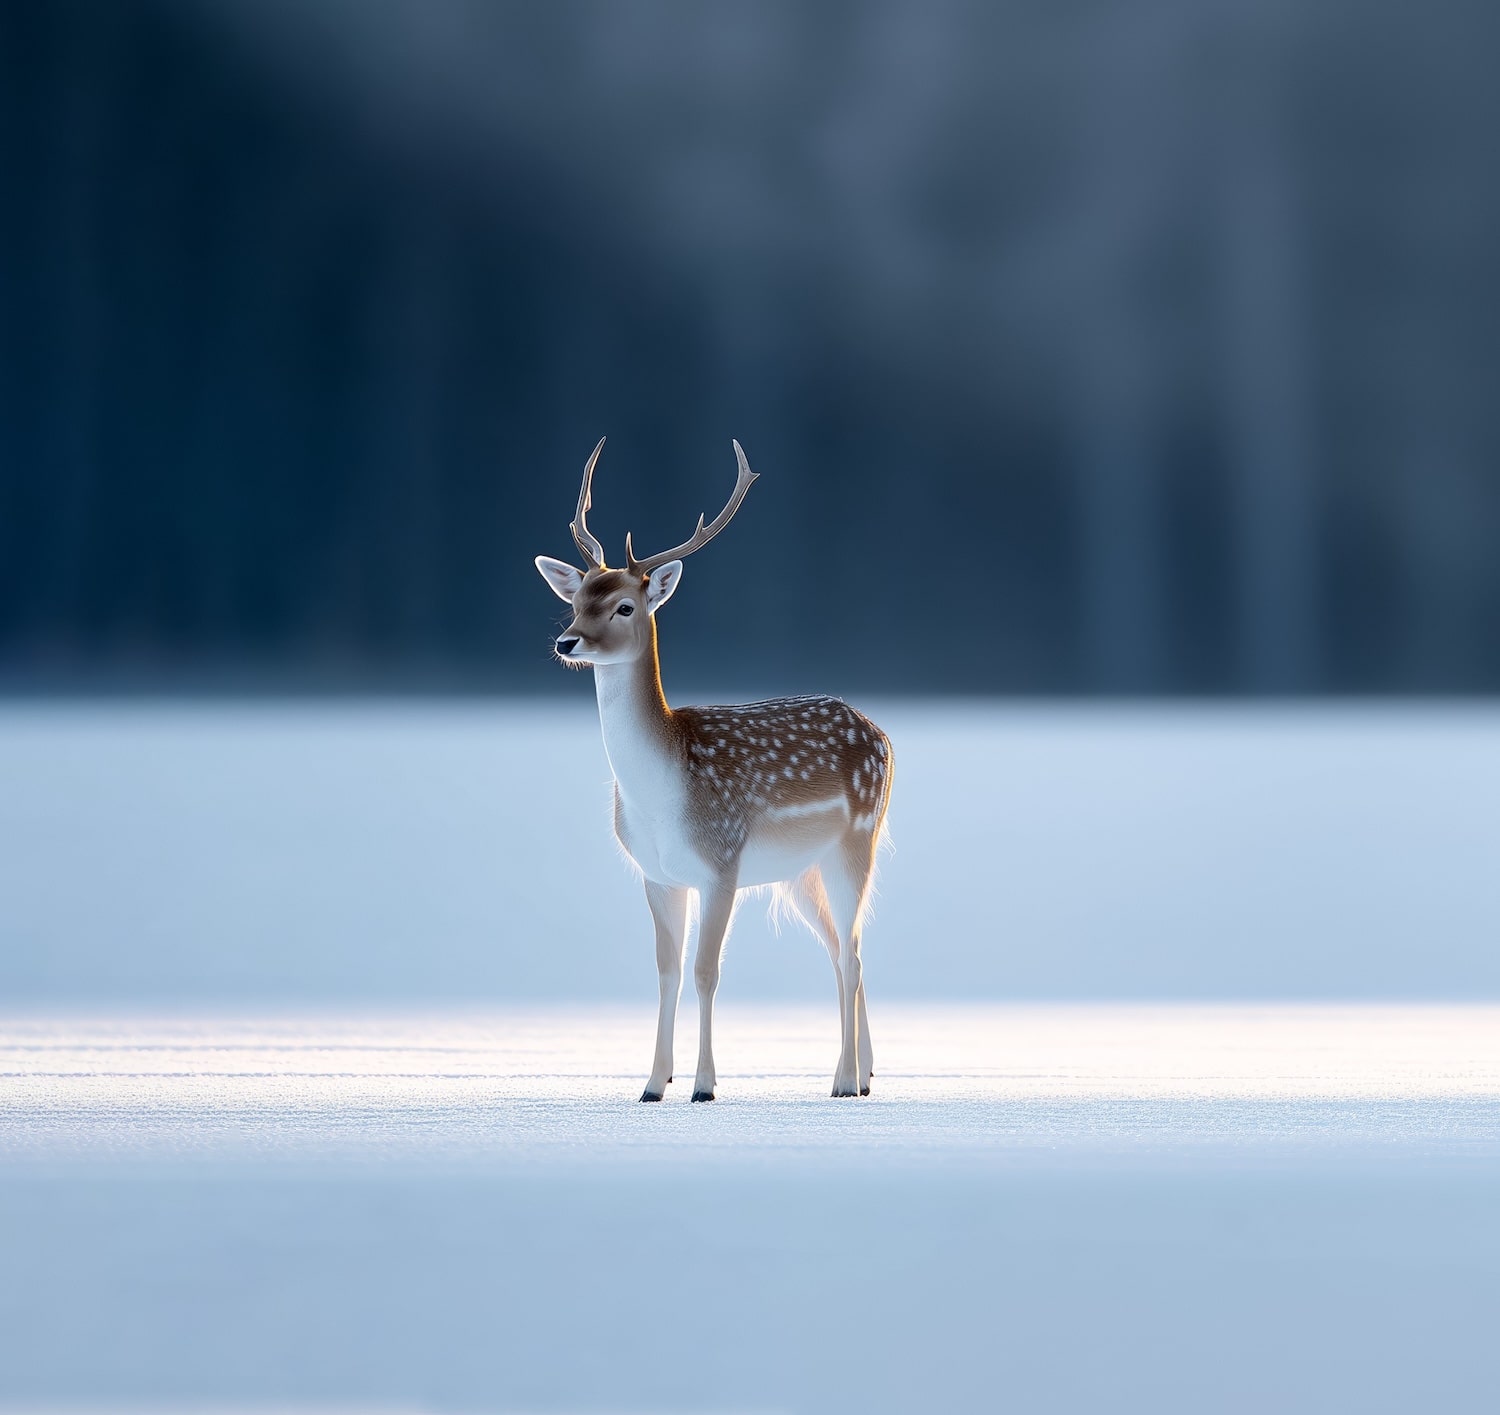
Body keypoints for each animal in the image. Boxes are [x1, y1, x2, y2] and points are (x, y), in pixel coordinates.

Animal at [534, 438, 893, 1101]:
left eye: (625, 606)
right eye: (574, 600)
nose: (567, 642)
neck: (661, 793)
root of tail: (880, 733)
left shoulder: (722, 862)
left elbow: (706, 971)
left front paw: (703, 1085)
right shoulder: (655, 873)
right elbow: (666, 971)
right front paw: (653, 1083)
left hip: (858, 841)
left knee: (852, 951)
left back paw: (843, 1080)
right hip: (803, 871)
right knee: (843, 950)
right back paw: (863, 1073)